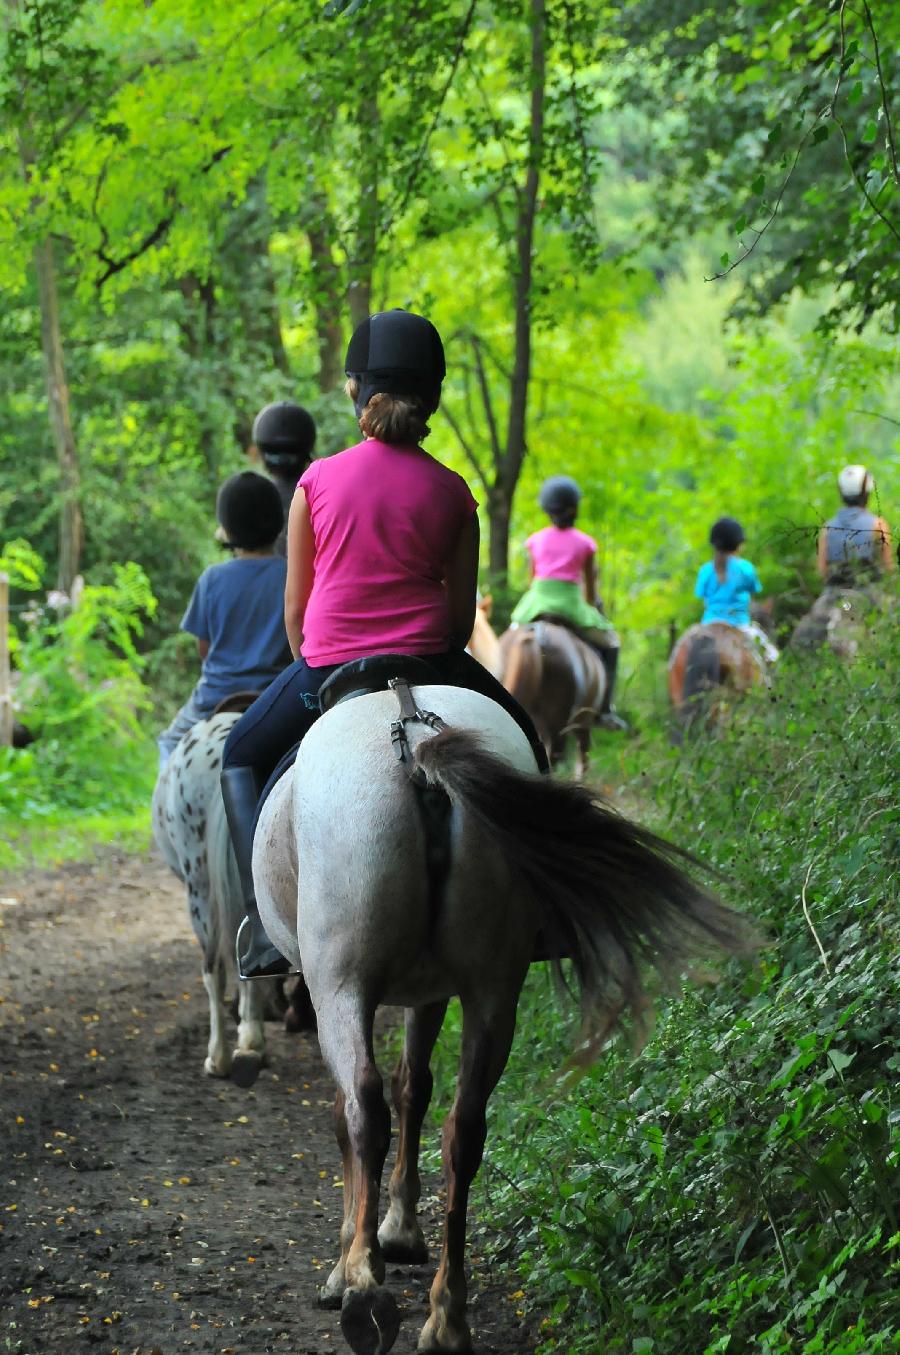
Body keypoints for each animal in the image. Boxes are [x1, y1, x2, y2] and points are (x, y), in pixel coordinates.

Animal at [250, 688, 753, 1355]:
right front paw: (402, 1229)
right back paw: (446, 1318)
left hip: (341, 982)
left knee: (363, 1107)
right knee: (463, 1129)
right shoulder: (432, 990)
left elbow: (356, 1111)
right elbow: (416, 1087)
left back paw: (362, 1288)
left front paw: (353, 1256)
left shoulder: (339, 986)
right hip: (493, 986)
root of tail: (411, 734)